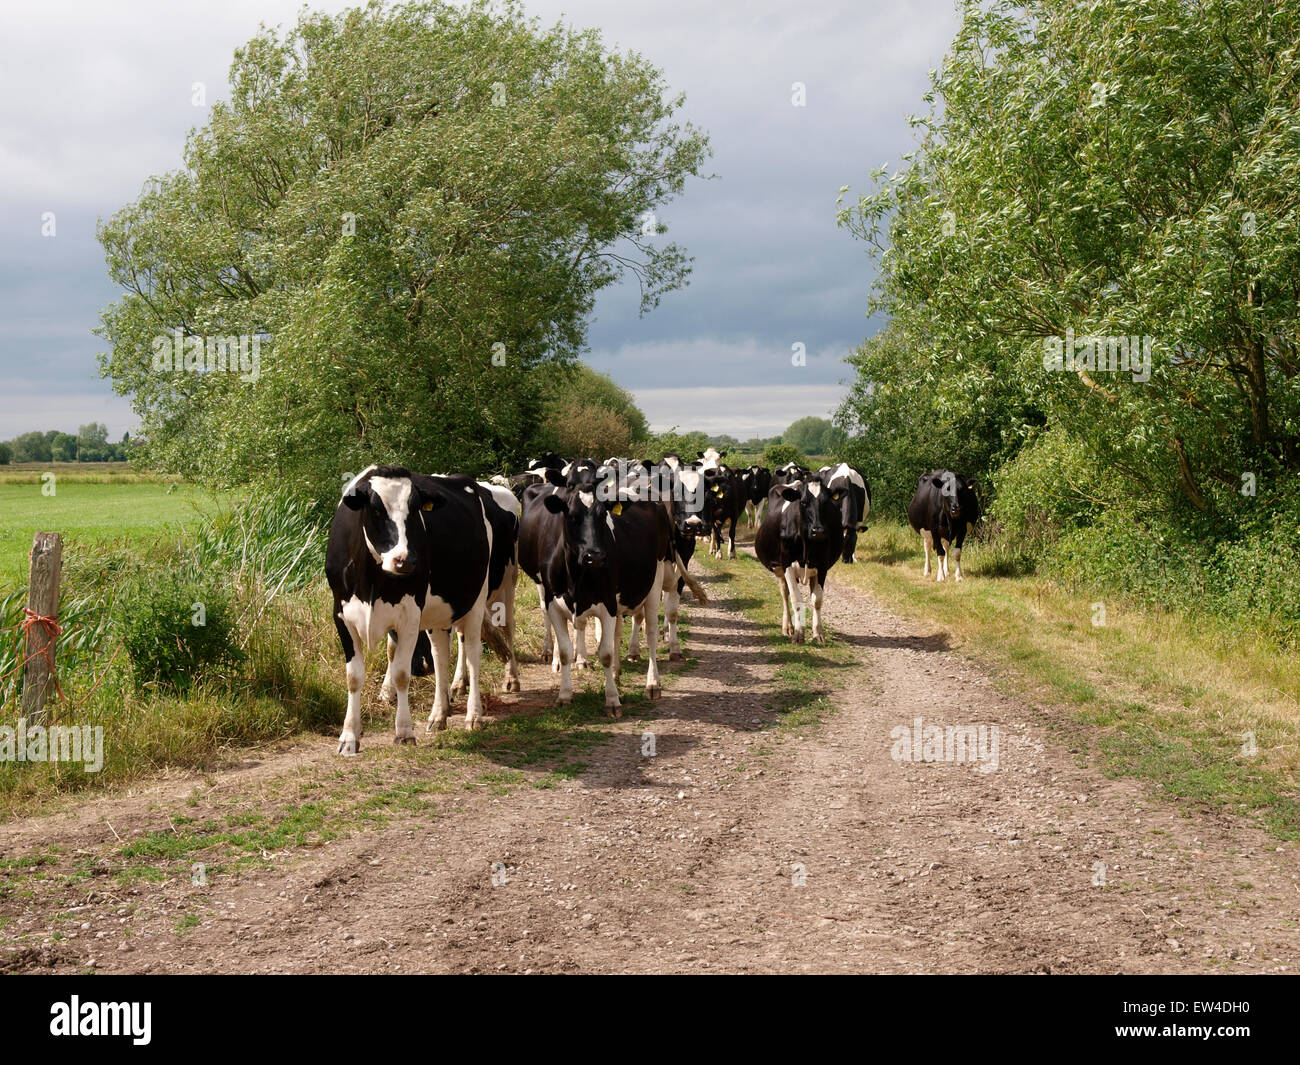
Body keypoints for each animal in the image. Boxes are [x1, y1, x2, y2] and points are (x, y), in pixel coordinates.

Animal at [325, 465, 517, 749]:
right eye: (376, 509)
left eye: (415, 510)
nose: (405, 560)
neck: (371, 579)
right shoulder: (341, 615)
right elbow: (354, 677)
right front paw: (349, 736)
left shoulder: (409, 615)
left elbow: (401, 673)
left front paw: (404, 731)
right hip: (441, 613)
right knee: (441, 655)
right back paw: (440, 713)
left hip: (483, 595)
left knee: (476, 650)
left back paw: (476, 712)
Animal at [754, 478, 842, 644]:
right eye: (803, 503)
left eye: (826, 502)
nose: (818, 531)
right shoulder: (787, 564)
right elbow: (796, 599)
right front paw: (798, 634)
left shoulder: (822, 566)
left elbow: (817, 600)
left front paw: (818, 633)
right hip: (779, 570)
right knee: (785, 594)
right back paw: (787, 627)